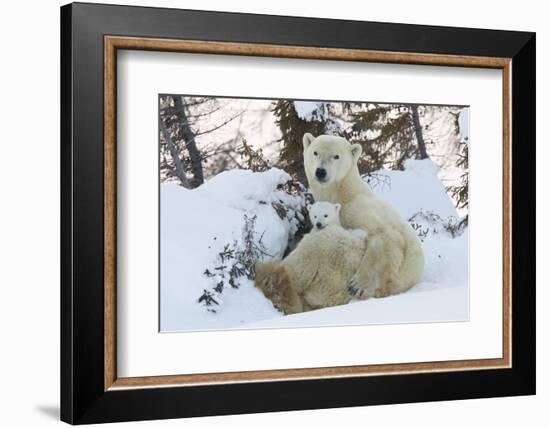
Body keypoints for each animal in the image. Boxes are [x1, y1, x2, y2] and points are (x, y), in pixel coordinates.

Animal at [302, 133, 426, 298]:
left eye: (336, 156)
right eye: (315, 152)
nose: (320, 171)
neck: (345, 194)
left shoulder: (357, 208)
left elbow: (385, 235)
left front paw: (357, 285)